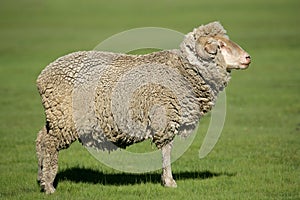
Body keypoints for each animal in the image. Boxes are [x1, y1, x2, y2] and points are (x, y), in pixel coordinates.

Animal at [35, 21, 251, 194]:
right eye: (220, 45)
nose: (248, 58)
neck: (185, 71)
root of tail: (43, 76)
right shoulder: (165, 117)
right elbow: (167, 150)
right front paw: (169, 181)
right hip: (63, 119)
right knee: (49, 144)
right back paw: (49, 185)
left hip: (55, 117)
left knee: (40, 138)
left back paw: (41, 177)